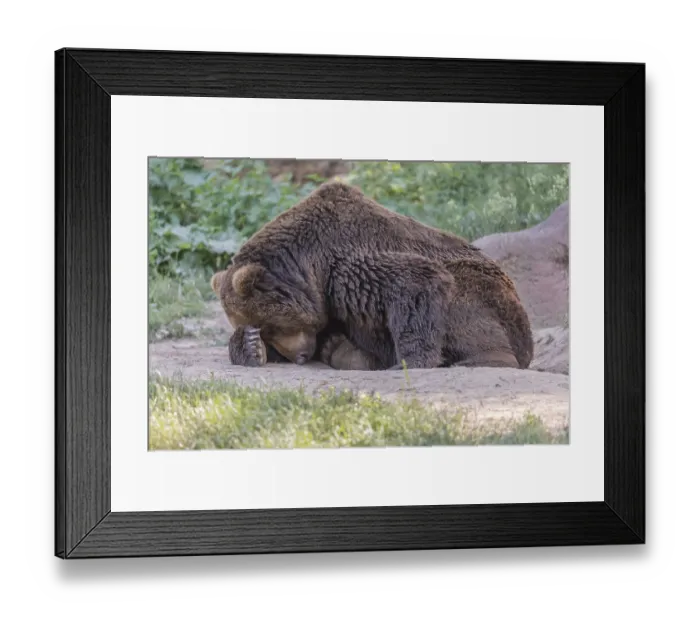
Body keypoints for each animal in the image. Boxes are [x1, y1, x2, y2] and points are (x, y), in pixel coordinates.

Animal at [210, 180, 534, 370]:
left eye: (271, 325)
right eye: (264, 330)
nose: (298, 356)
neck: (309, 268)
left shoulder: (343, 266)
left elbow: (414, 281)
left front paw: (409, 362)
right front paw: (250, 347)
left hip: (487, 293)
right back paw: (340, 350)